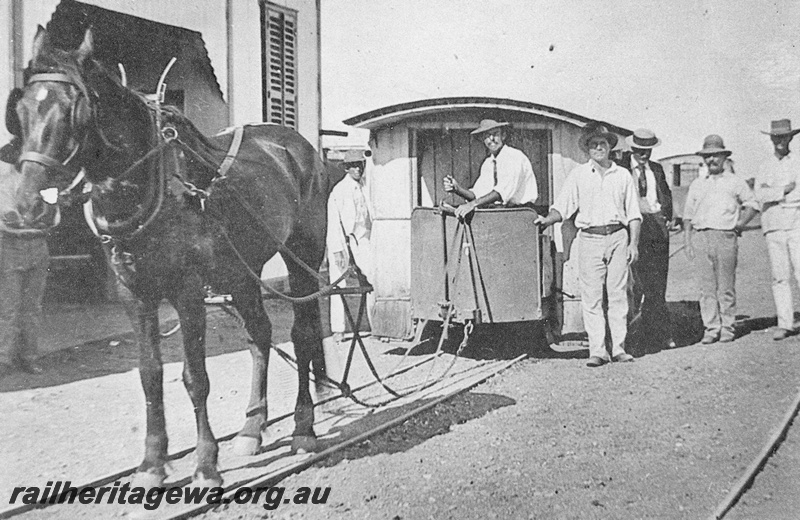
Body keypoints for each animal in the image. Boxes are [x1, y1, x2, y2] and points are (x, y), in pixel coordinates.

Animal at [12, 24, 332, 488]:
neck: (150, 182)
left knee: (304, 334)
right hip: (243, 270)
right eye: (21, 110)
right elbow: (150, 377)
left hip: (303, 257)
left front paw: (205, 464)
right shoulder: (134, 294)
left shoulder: (188, 291)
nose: (26, 205)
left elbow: (195, 377)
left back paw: (304, 428)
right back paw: (252, 428)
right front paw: (151, 464)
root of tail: (298, 146)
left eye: (75, 111)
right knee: (259, 335)